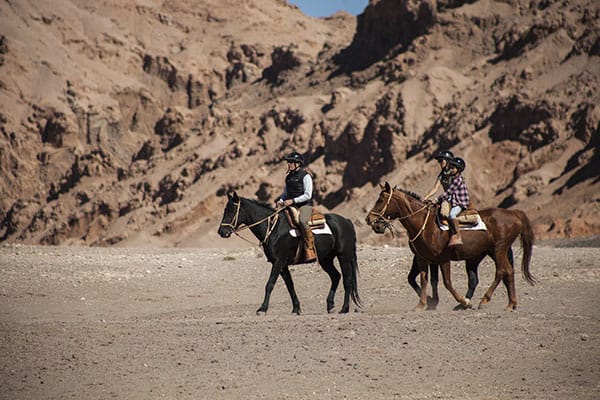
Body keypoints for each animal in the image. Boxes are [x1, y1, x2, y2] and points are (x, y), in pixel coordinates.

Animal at [219, 191, 360, 316]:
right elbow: (290, 285)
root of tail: (346, 221)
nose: (221, 232)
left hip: (344, 257)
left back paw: (344, 308)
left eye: (231, 210)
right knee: (336, 276)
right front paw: (296, 309)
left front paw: (262, 309)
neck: (274, 229)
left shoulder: (278, 262)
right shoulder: (282, 264)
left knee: (347, 280)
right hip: (326, 259)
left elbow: (269, 284)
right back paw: (330, 306)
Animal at [364, 183, 536, 310]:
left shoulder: (443, 259)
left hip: (499, 249)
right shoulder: (423, 258)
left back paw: (485, 301)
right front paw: (423, 304)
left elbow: (446, 282)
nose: (369, 219)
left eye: (381, 199)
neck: (424, 224)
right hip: (494, 251)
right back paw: (511, 304)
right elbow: (424, 279)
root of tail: (514, 213)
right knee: (508, 272)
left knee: (502, 271)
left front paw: (464, 301)